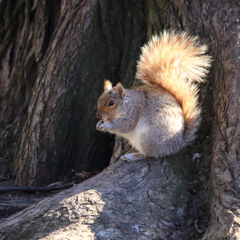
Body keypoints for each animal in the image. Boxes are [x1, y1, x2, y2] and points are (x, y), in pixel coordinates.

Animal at [96, 30, 212, 161]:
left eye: (111, 103)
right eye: (99, 99)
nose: (98, 115)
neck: (127, 103)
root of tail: (178, 143)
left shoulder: (133, 113)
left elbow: (125, 126)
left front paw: (107, 125)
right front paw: (99, 123)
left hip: (149, 138)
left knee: (148, 155)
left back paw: (132, 156)